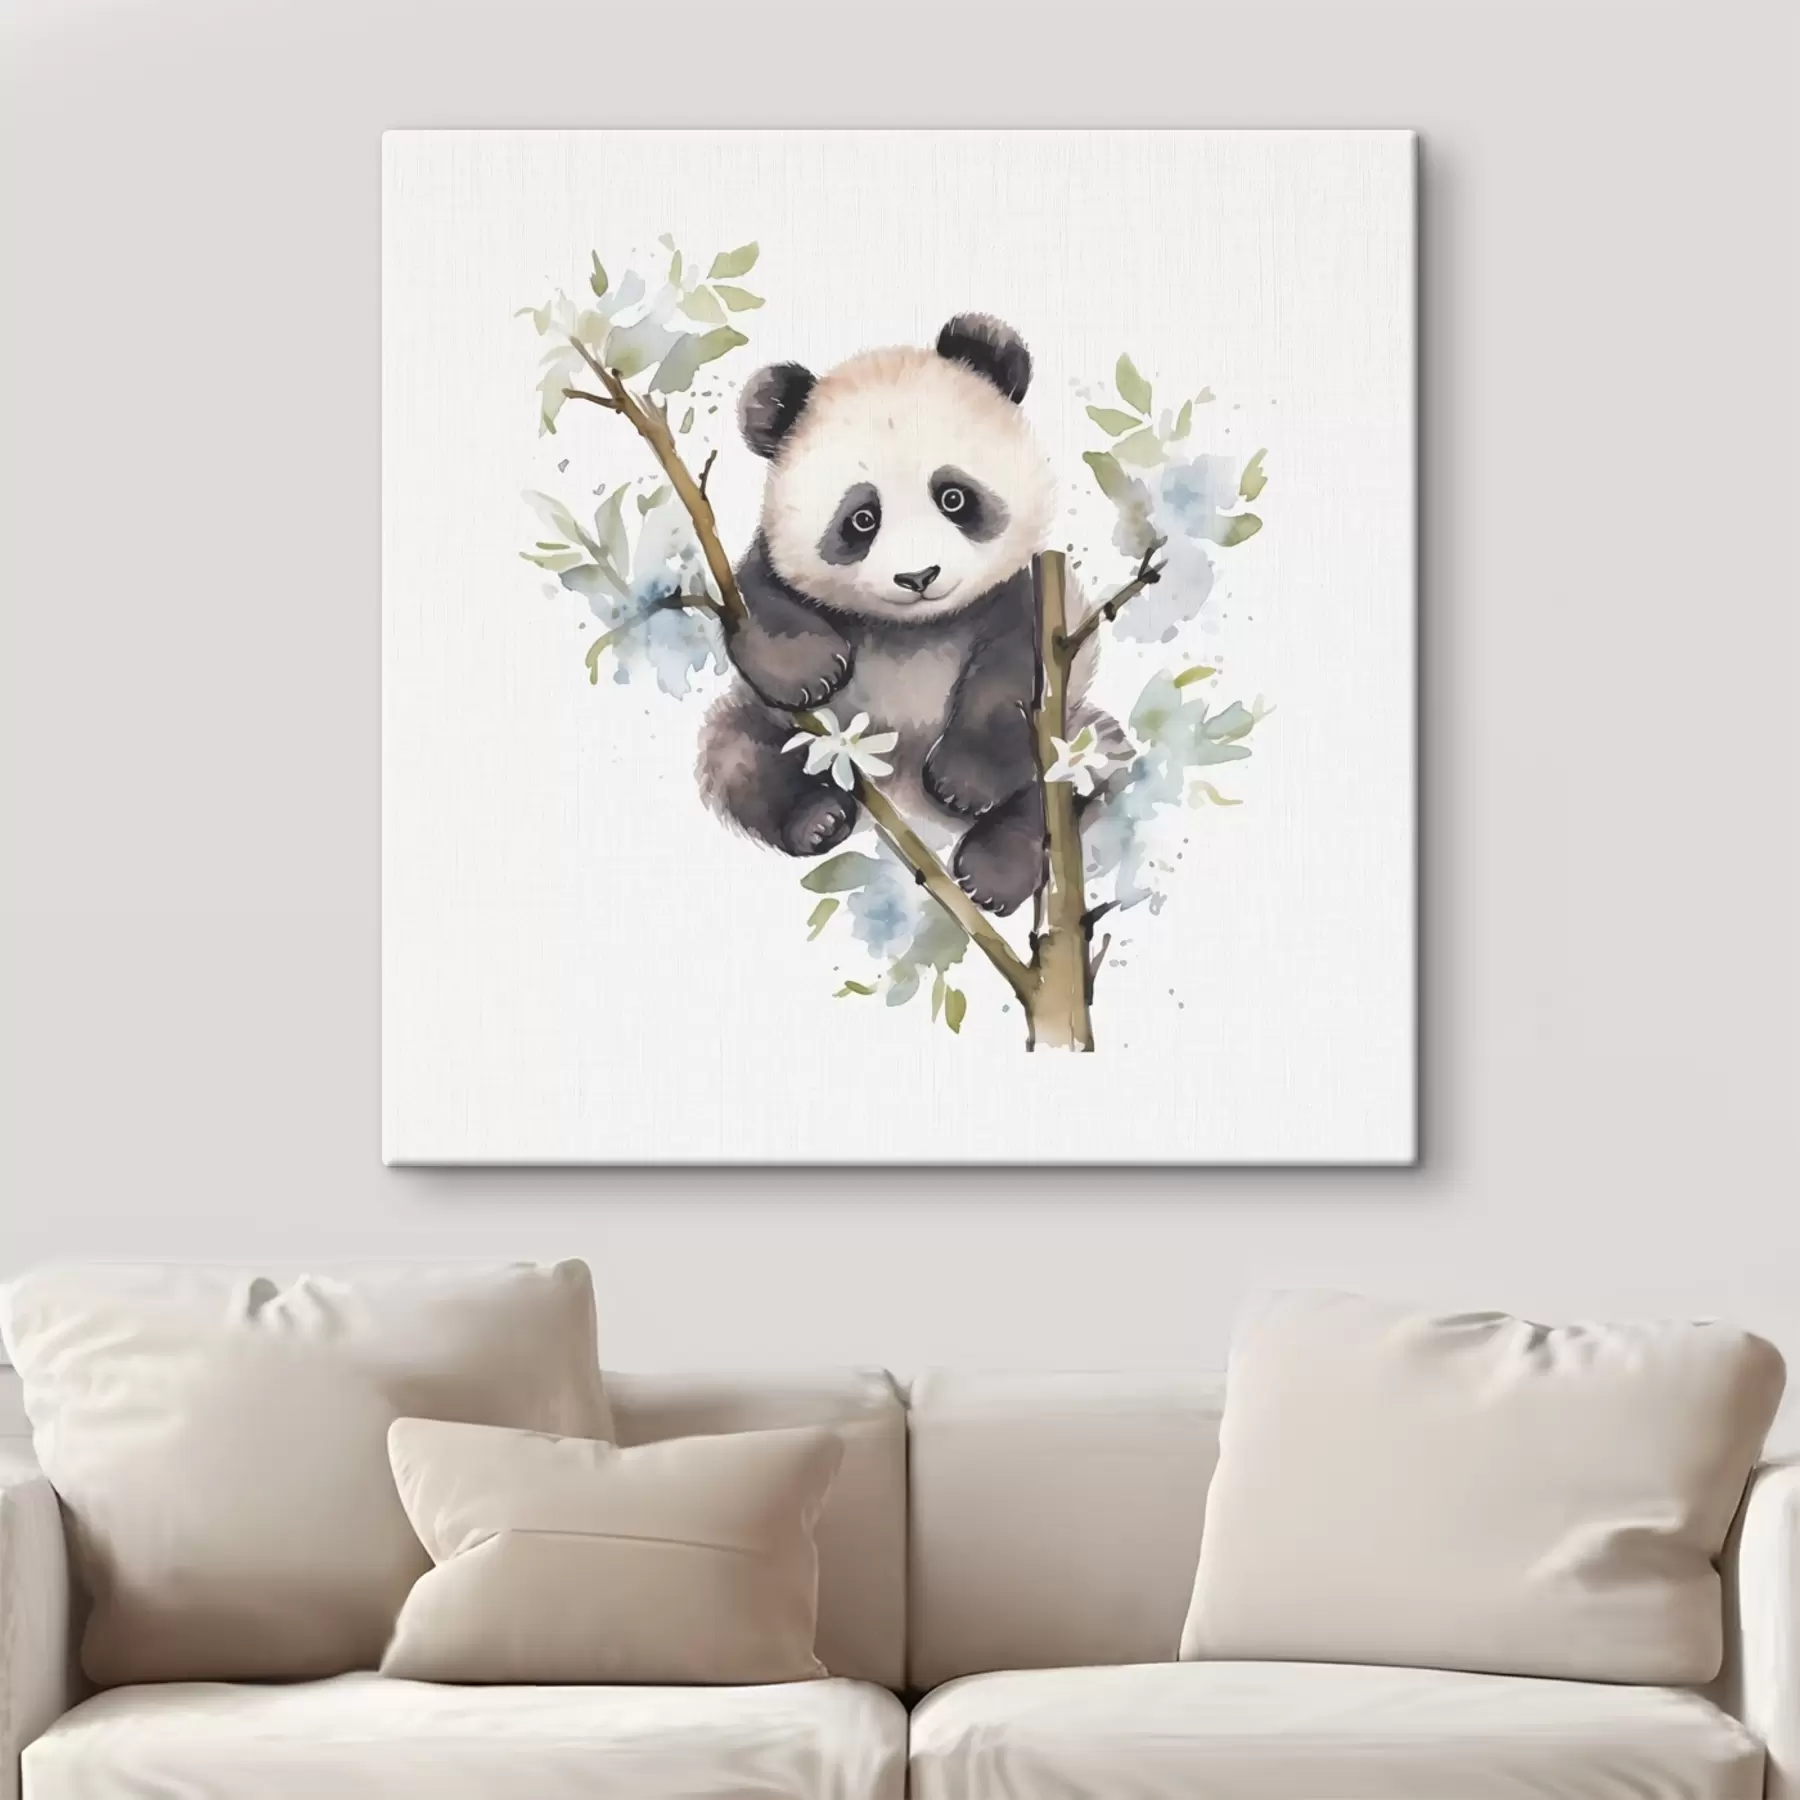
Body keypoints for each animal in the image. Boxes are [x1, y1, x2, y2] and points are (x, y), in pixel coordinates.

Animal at [698, 313, 1117, 916]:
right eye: (862, 518)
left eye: (954, 497)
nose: (919, 577)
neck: (916, 627)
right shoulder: (771, 571)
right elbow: (760, 598)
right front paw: (810, 670)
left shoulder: (1026, 594)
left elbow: (1015, 673)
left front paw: (966, 781)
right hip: (763, 734)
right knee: (736, 756)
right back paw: (818, 817)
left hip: (1074, 742)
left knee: (1080, 771)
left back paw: (993, 870)